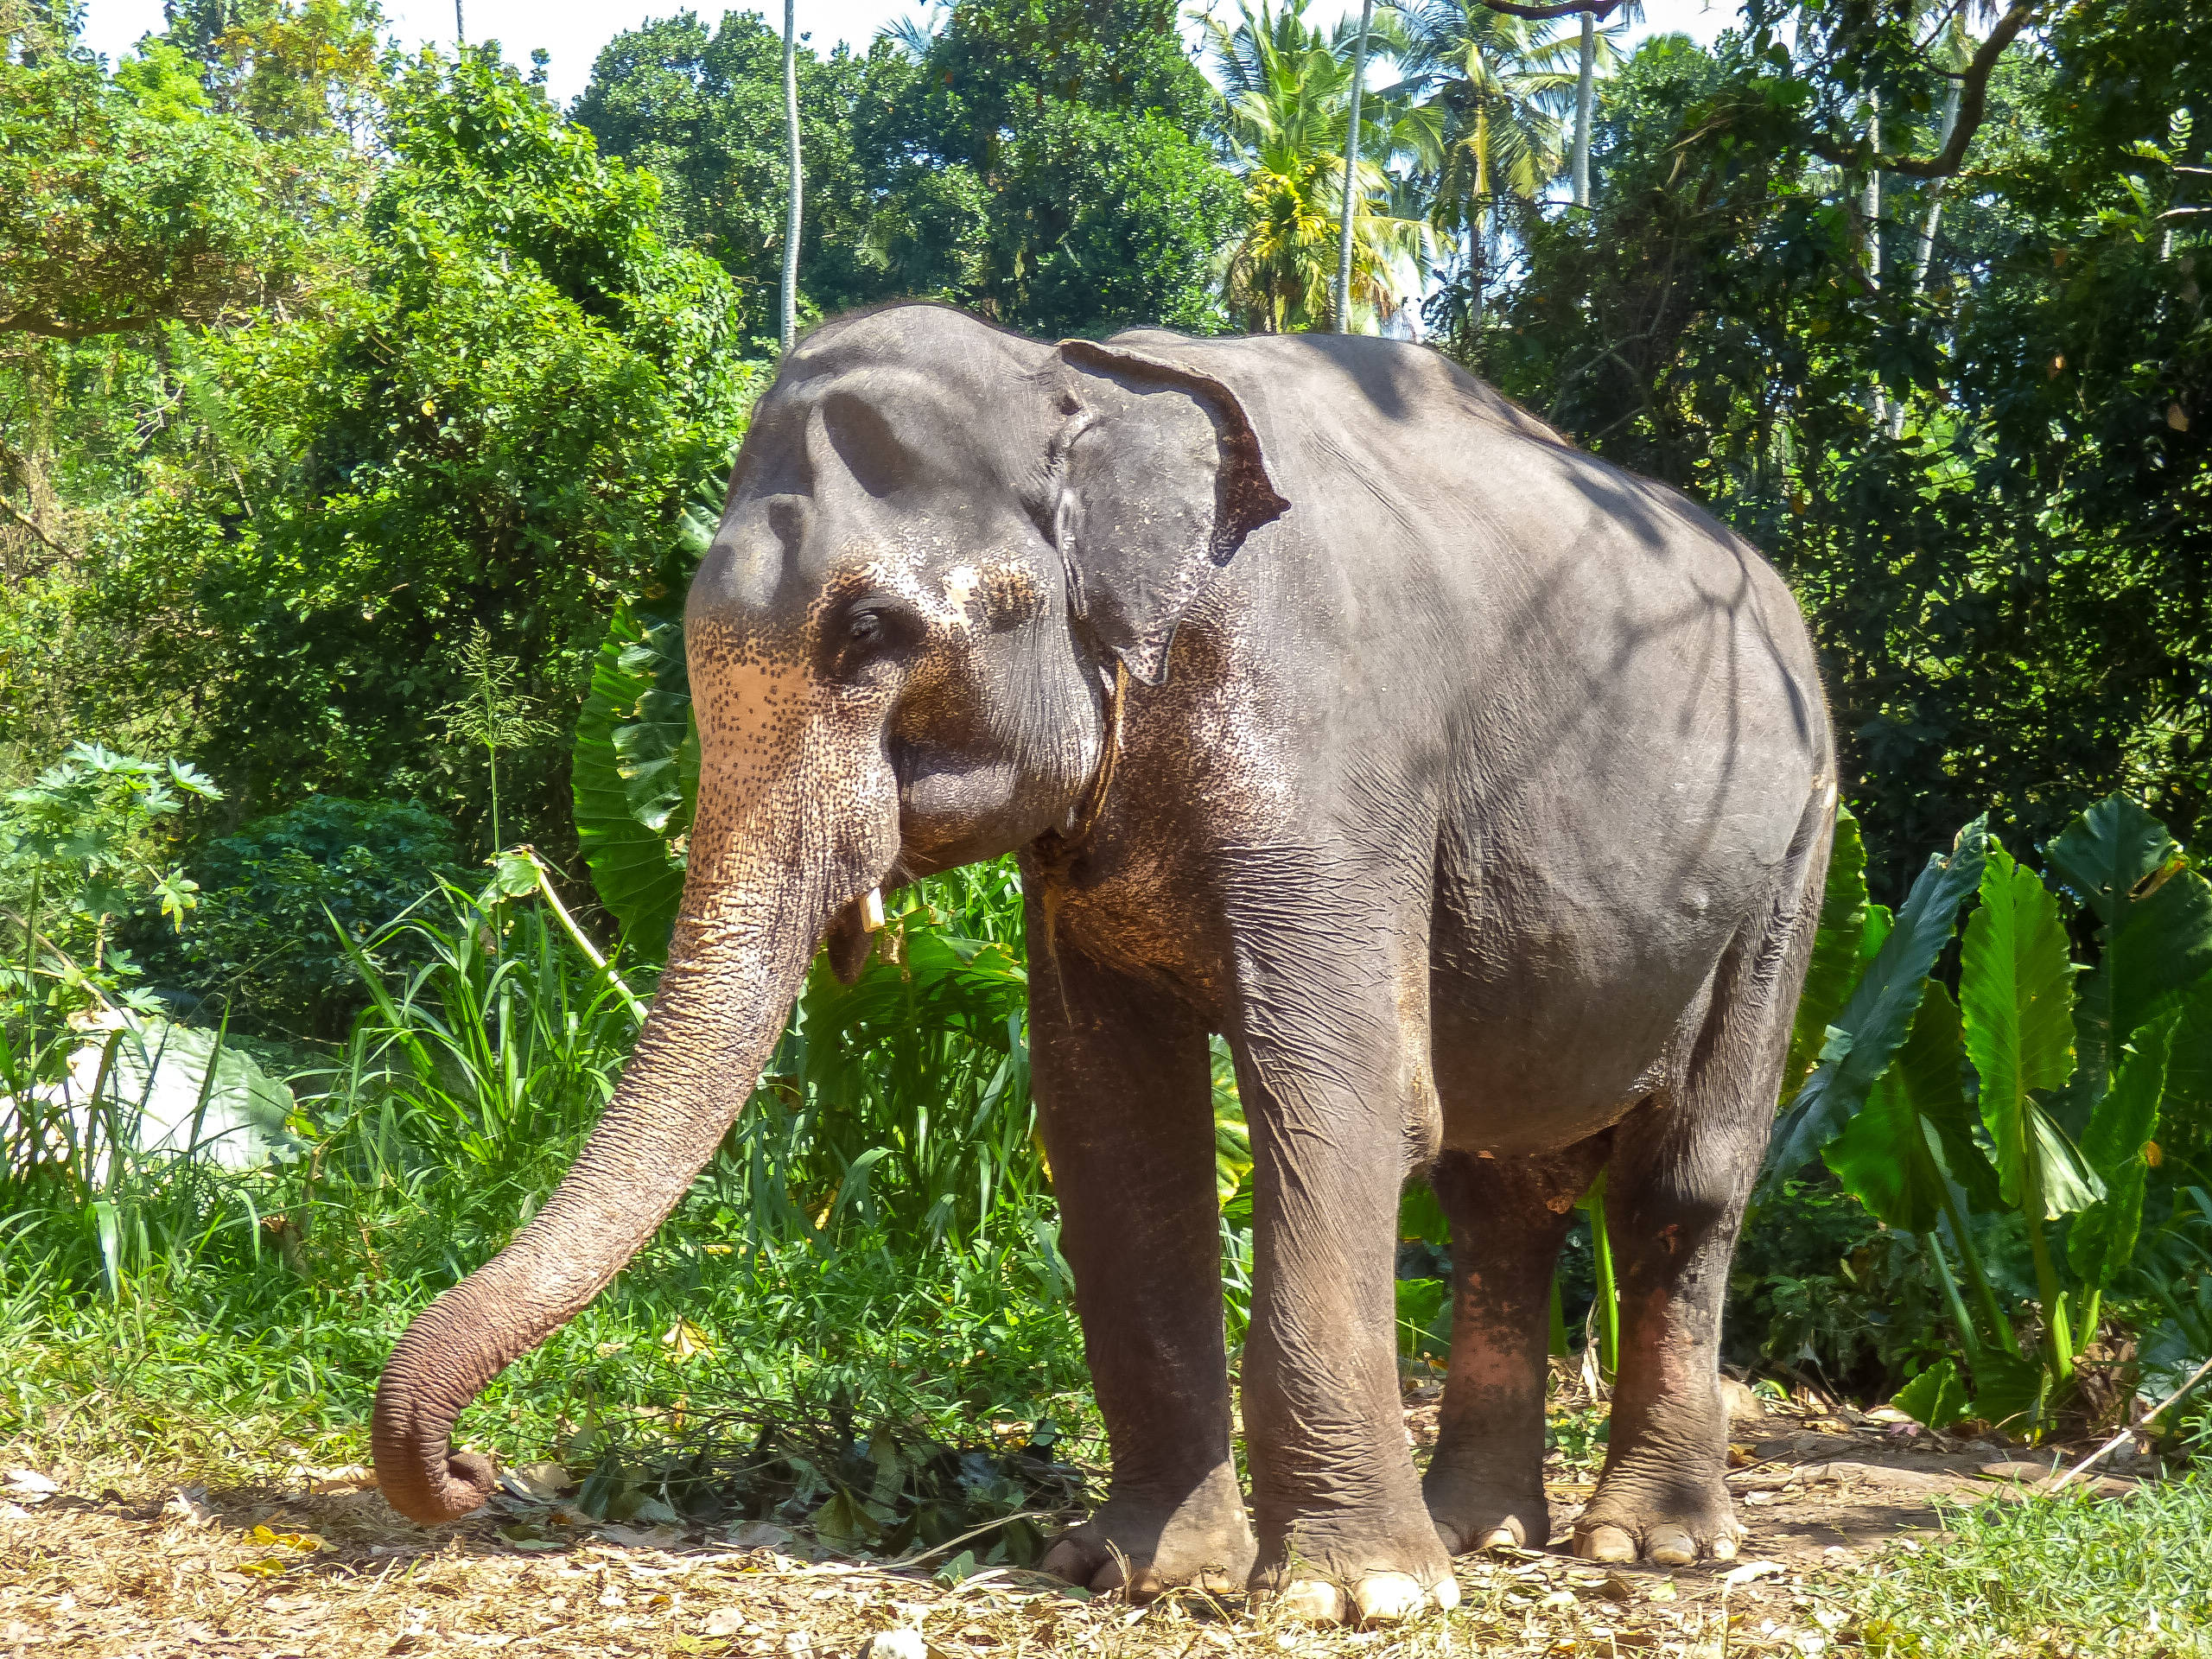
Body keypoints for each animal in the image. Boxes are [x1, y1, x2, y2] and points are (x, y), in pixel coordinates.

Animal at [376, 298, 1831, 1628]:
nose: (474, 1470)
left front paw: (1350, 1598)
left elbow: (1341, 1097)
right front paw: (1131, 1573)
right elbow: (1113, 1127)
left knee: (1680, 1182)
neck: (1076, 376)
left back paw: (1646, 1545)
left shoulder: (1335, 747)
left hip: (1796, 858)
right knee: (1502, 1190)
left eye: (869, 632)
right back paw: (1482, 1533)